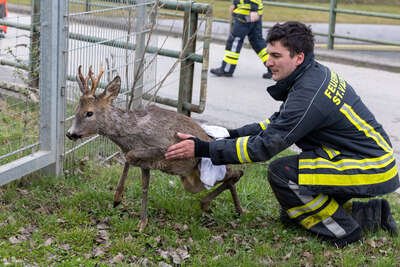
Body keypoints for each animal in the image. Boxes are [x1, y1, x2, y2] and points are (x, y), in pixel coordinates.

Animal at [65, 67, 244, 232]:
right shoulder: (145, 163)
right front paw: (139, 219)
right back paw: (219, 206)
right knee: (232, 176)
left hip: (202, 170)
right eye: (76, 111)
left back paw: (228, 208)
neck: (132, 132)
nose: (70, 133)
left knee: (238, 172)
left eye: (89, 113)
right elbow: (144, 185)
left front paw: (119, 199)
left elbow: (130, 157)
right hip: (190, 181)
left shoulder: (163, 147)